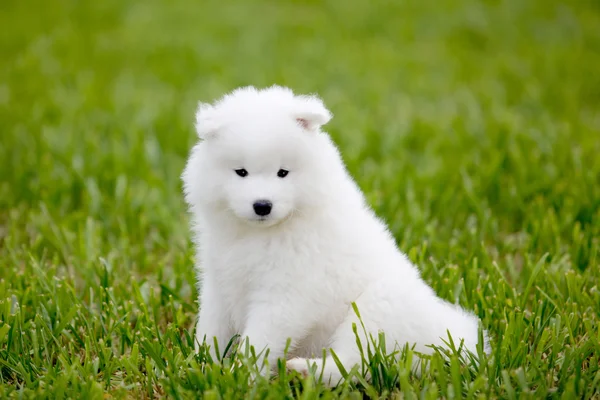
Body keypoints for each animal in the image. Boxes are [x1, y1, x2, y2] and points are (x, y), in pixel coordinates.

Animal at [182, 86, 488, 386]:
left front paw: (238, 374)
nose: (262, 205)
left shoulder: (285, 293)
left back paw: (304, 370)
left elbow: (259, 340)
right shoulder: (218, 282)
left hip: (374, 311)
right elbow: (212, 328)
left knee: (354, 363)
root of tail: (451, 337)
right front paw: (201, 364)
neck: (259, 234)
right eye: (241, 172)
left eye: (283, 173)